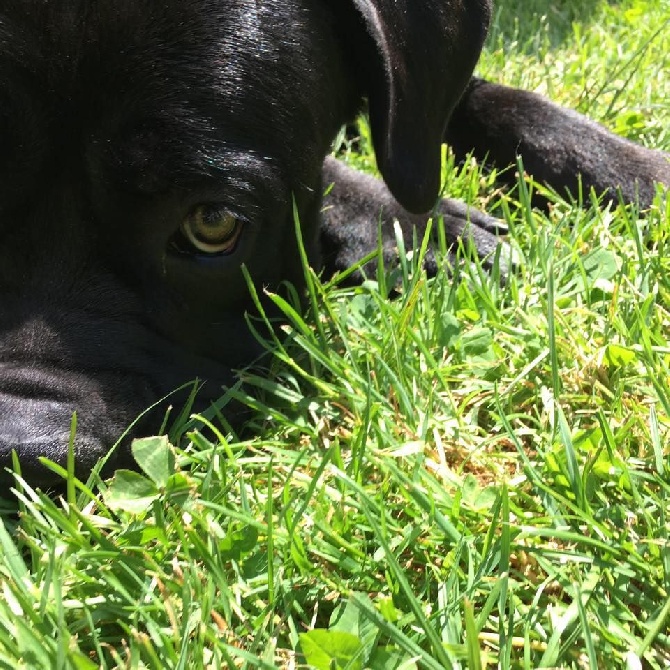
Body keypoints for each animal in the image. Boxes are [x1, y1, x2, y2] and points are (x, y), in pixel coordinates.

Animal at [0, 0, 668, 484]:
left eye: (213, 223)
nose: (25, 447)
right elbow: (336, 172)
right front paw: (413, 226)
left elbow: (491, 100)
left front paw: (633, 171)